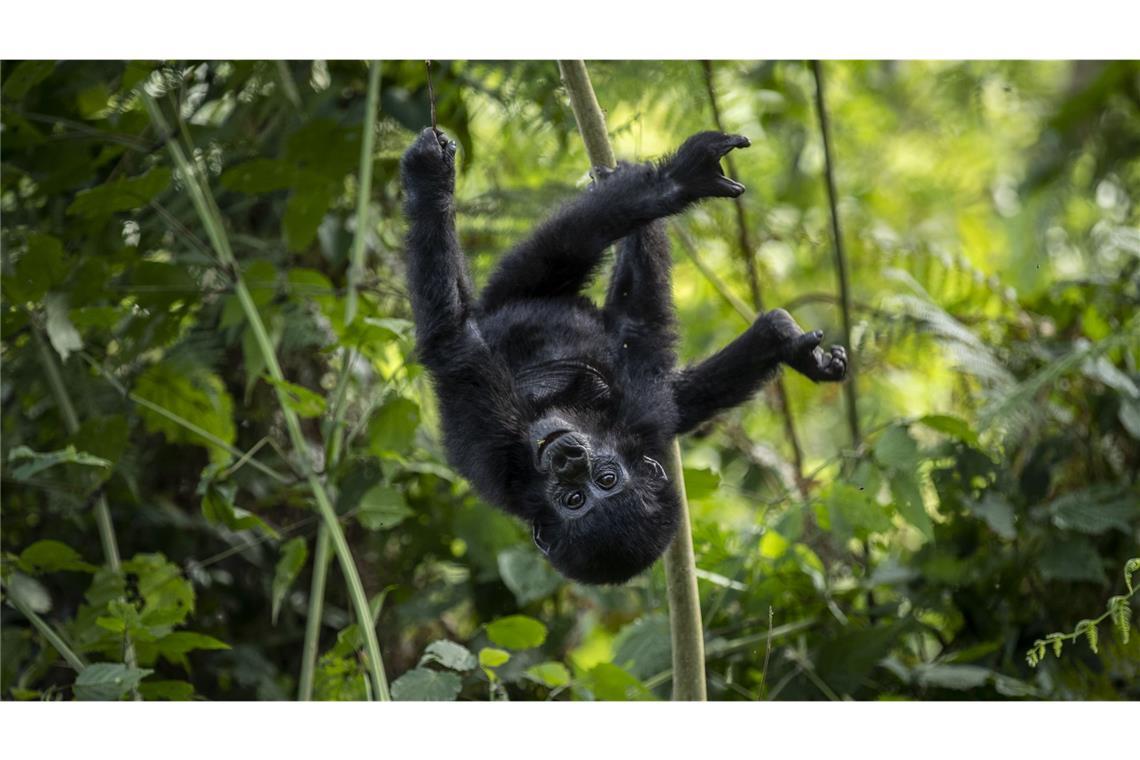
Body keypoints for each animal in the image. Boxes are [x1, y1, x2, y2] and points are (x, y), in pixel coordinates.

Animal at [403, 127, 848, 587]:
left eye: (605, 481)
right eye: (574, 499)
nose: (567, 460)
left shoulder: (642, 419)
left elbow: (453, 340)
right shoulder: (498, 450)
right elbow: (454, 340)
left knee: (568, 249)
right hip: (513, 295)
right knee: (565, 250)